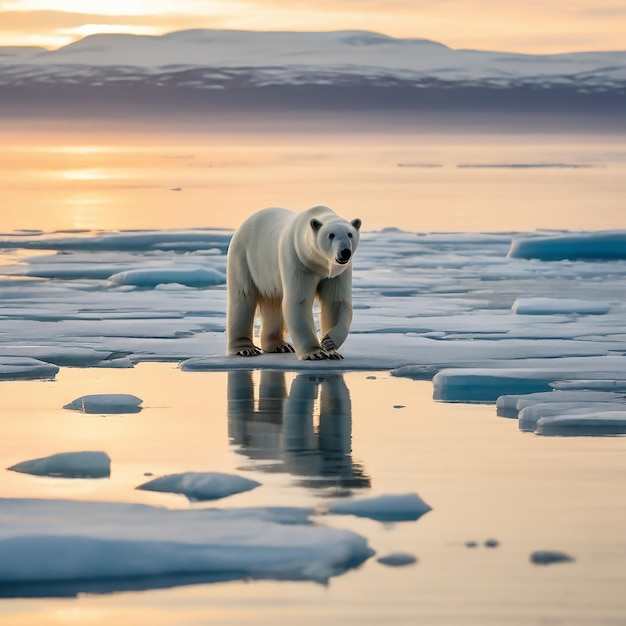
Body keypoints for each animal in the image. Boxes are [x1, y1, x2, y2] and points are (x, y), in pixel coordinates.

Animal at [227, 206, 358, 358]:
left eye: (350, 234)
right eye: (331, 235)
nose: (345, 252)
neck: (318, 264)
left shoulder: (338, 272)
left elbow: (336, 302)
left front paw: (330, 345)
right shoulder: (298, 260)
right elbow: (298, 301)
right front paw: (316, 353)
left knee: (274, 300)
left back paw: (280, 346)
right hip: (243, 256)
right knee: (242, 297)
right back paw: (245, 349)